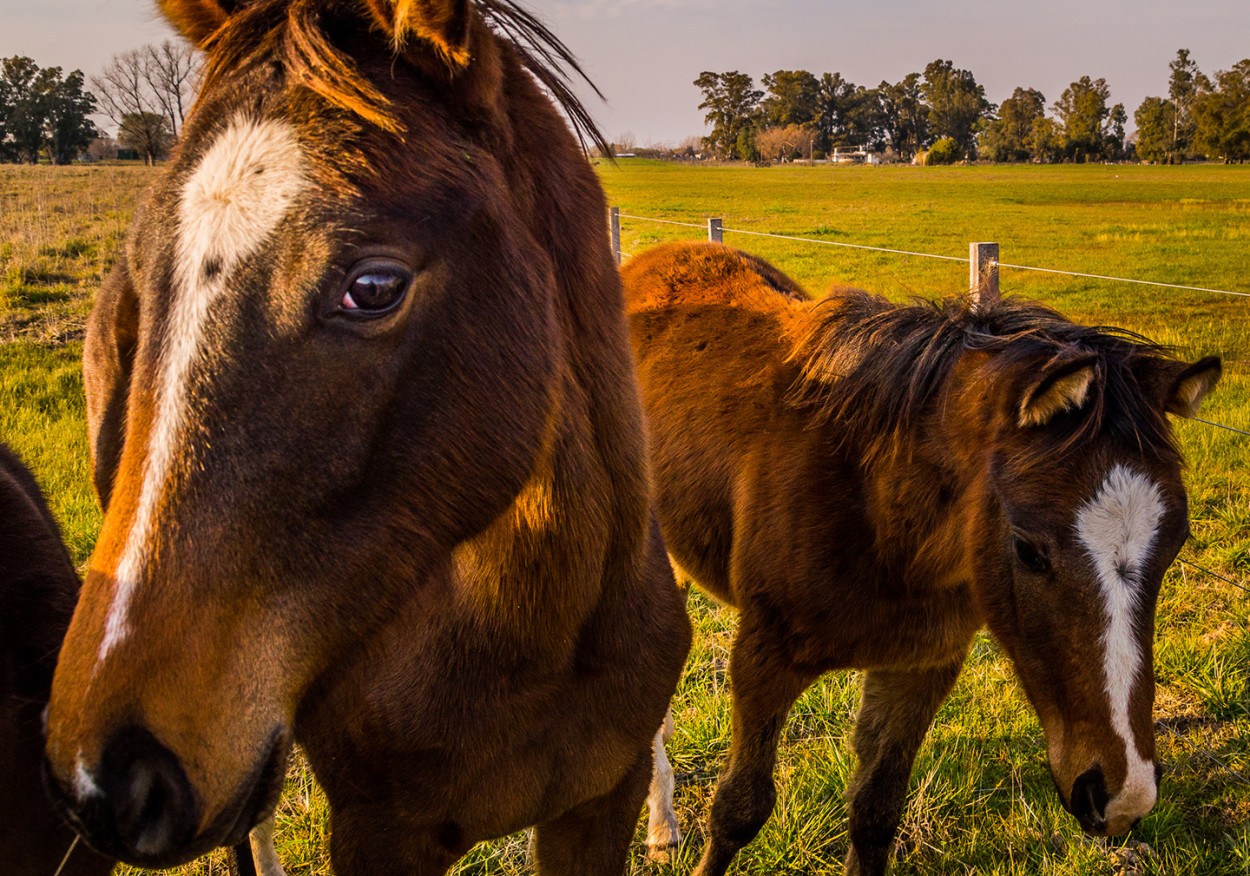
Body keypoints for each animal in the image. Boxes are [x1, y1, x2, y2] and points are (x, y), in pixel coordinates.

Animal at [48, 3, 690, 869]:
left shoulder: (595, 807)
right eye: (146, 280)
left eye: (374, 287)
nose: (103, 776)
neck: (535, 645)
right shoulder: (382, 829)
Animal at [625, 241, 1220, 874]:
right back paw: (661, 826)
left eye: (1176, 543)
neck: (881, 514)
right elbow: (739, 809)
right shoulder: (763, 661)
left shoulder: (918, 668)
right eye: (1027, 549)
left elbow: (876, 813)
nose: (1123, 794)